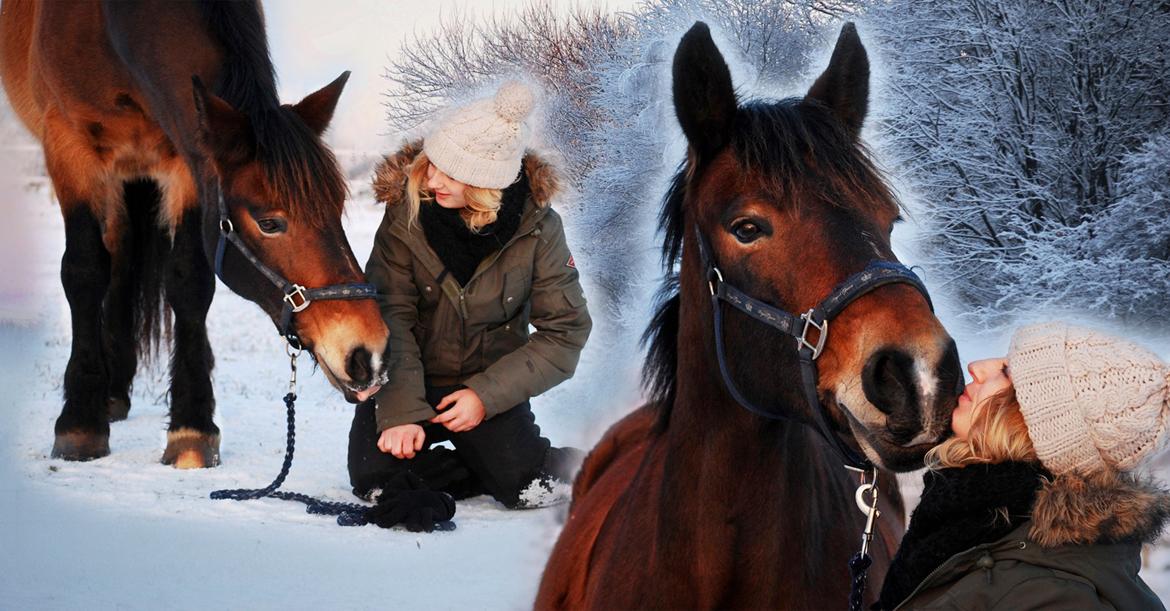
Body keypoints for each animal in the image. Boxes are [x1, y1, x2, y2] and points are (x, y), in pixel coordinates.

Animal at [0, 1, 390, 465]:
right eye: (269, 223)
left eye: (336, 206)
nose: (368, 352)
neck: (111, 24)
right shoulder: (68, 145)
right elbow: (84, 271)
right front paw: (79, 423)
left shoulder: (185, 161)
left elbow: (190, 280)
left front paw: (191, 428)